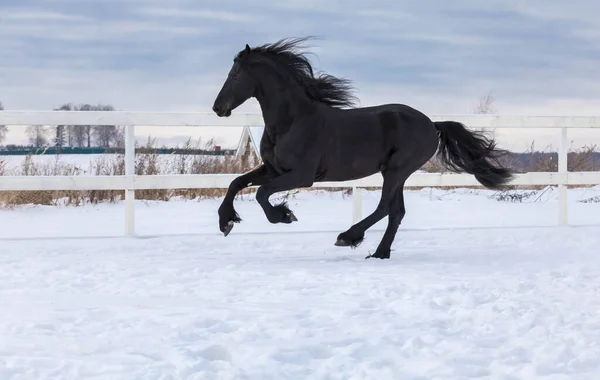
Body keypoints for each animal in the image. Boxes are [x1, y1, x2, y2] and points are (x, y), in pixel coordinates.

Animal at [211, 37, 510, 260]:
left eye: (235, 75)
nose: (217, 108)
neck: (292, 121)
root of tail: (431, 124)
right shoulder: (273, 169)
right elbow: (237, 183)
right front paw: (226, 222)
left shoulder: (301, 176)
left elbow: (261, 194)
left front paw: (284, 216)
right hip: (395, 173)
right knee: (396, 211)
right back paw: (379, 253)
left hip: (397, 169)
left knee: (385, 207)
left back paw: (348, 237)